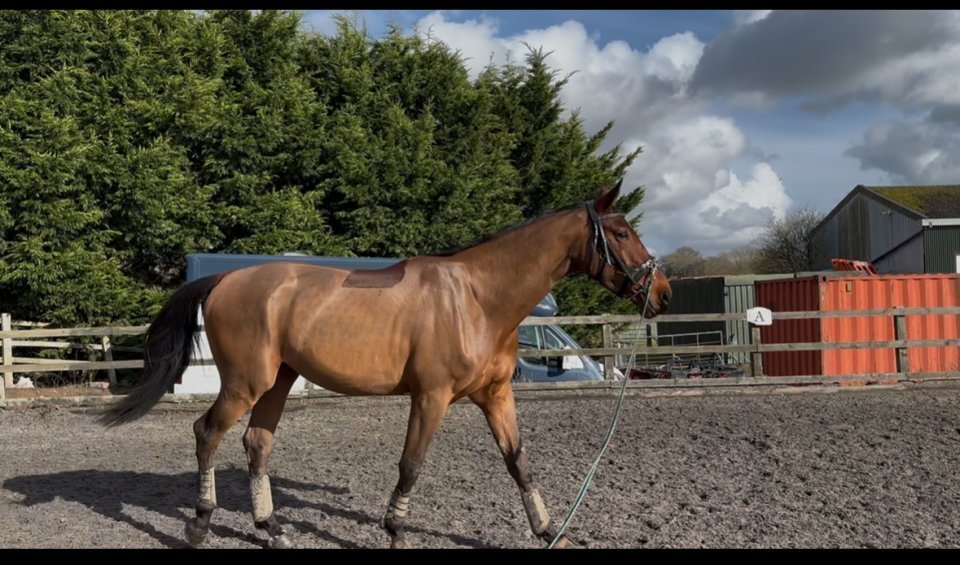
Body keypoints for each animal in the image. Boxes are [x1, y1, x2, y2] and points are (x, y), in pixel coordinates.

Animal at [99, 179, 672, 549]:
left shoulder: (496, 396)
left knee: (256, 443)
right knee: (207, 433)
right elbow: (411, 465)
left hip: (278, 382)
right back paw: (199, 524)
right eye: (621, 234)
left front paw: (549, 531)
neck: (477, 299)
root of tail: (224, 280)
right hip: (246, 382)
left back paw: (273, 530)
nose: (662, 293)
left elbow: (518, 462)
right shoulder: (432, 397)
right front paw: (395, 530)